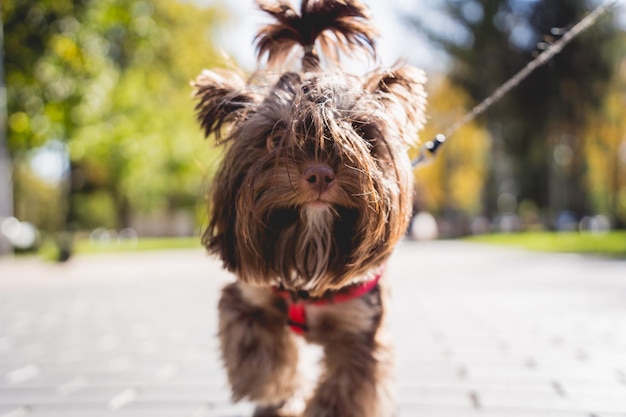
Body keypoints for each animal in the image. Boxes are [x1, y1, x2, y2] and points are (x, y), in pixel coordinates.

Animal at [190, 1, 424, 414]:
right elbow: (264, 358)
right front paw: (276, 394)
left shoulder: (362, 331)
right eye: (275, 137)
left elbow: (345, 387)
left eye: (360, 133)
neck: (311, 240)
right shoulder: (249, 299)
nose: (319, 173)